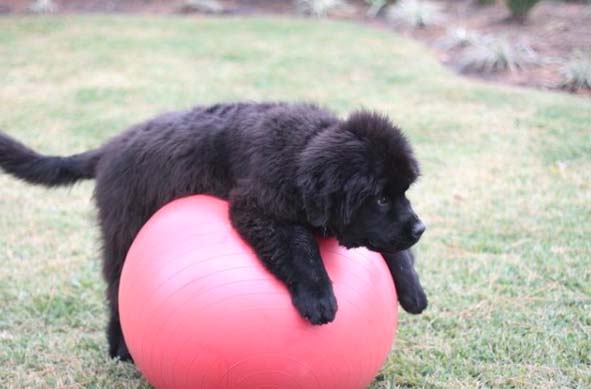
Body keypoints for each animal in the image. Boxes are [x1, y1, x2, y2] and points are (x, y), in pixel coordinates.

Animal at [0, 101, 430, 360]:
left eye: (402, 192)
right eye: (379, 198)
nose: (420, 228)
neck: (301, 150)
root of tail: (110, 147)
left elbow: (392, 248)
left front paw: (413, 289)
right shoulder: (255, 206)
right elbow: (298, 246)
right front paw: (319, 297)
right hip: (124, 228)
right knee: (116, 288)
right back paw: (121, 346)